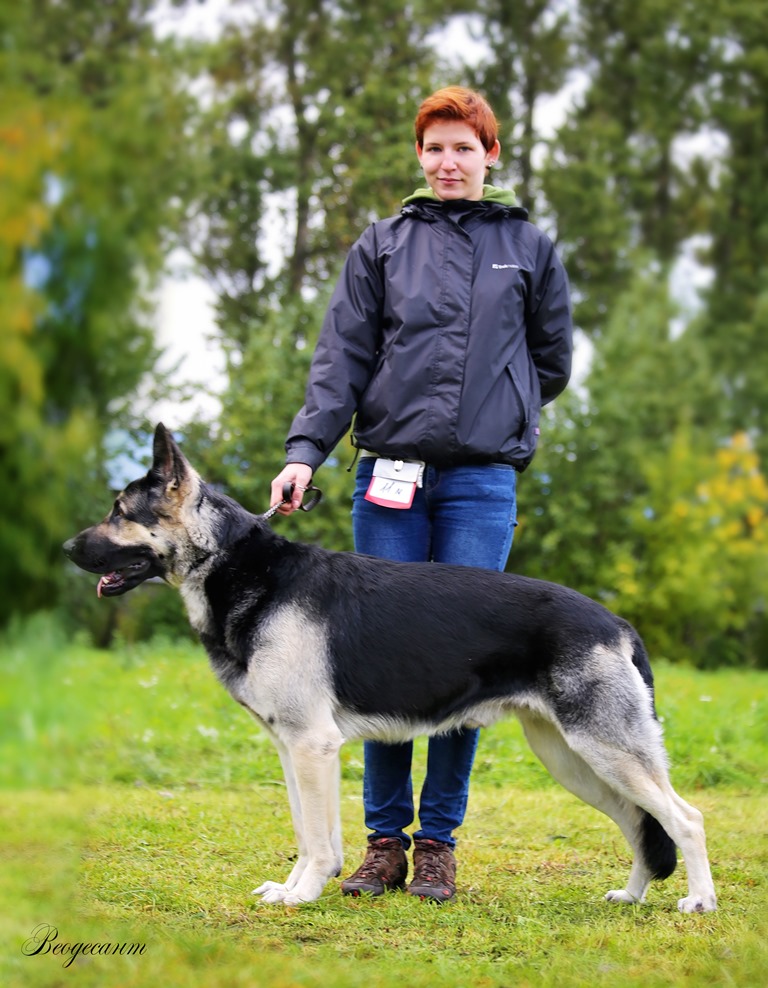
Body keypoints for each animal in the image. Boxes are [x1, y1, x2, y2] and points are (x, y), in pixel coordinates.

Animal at [63, 422, 716, 912]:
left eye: (120, 511)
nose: (66, 549)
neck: (236, 565)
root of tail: (618, 623)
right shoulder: (292, 750)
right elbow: (307, 831)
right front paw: (294, 887)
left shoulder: (312, 746)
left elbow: (318, 842)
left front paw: (302, 895)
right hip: (573, 760)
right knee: (639, 822)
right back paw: (631, 896)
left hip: (604, 752)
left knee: (684, 819)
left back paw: (699, 902)